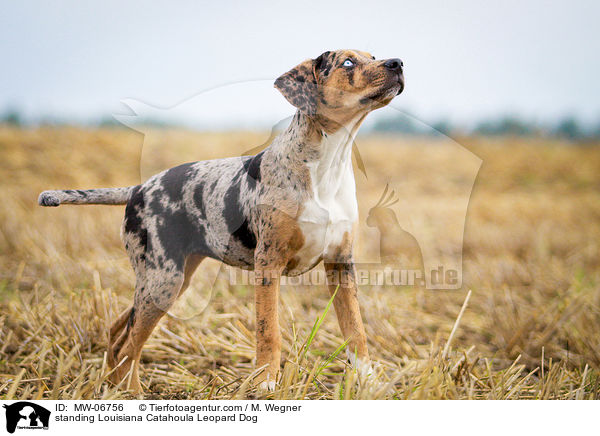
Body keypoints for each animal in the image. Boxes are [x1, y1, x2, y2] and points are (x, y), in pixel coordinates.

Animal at [37, 49, 404, 394]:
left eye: (373, 56)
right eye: (347, 63)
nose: (398, 63)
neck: (328, 165)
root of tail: (138, 189)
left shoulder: (341, 264)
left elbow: (356, 331)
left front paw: (370, 383)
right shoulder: (268, 264)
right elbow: (269, 331)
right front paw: (266, 384)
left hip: (170, 279)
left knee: (118, 335)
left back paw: (115, 390)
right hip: (162, 281)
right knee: (129, 346)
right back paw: (133, 395)